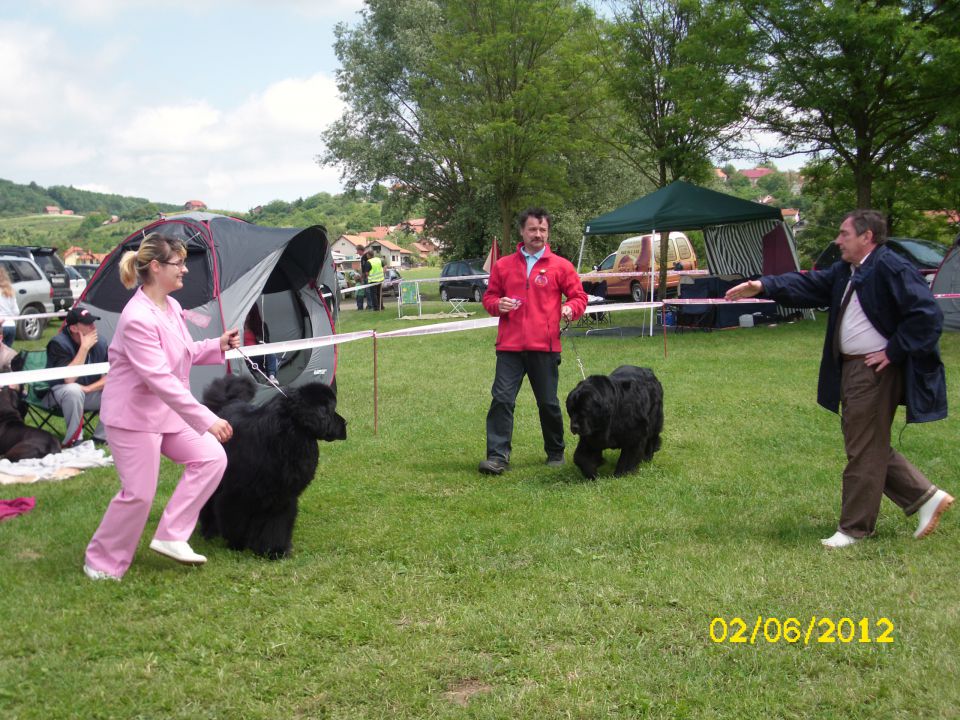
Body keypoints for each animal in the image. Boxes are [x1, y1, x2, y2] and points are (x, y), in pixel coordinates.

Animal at [197, 374, 346, 560]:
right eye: (331, 410)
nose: (346, 423)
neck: (289, 435)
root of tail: (226, 403)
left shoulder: (281, 496)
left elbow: (276, 524)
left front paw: (274, 550)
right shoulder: (236, 492)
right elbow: (235, 517)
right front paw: (237, 543)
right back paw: (208, 531)